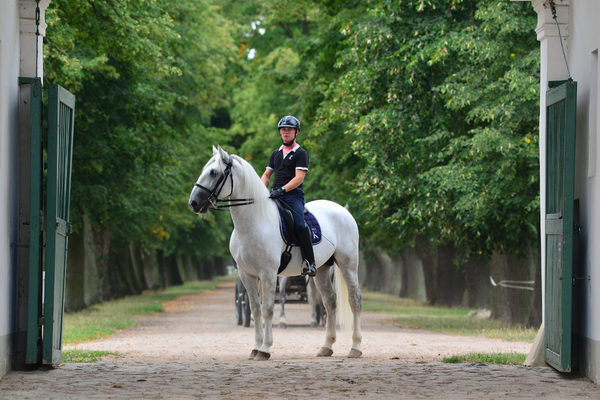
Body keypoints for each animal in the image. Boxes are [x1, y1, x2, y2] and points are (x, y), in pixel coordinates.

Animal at [190, 146, 364, 360]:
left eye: (213, 173)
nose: (193, 203)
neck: (254, 222)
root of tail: (343, 211)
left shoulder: (268, 273)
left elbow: (268, 310)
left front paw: (265, 349)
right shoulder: (247, 275)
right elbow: (255, 309)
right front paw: (255, 347)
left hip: (348, 264)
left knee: (354, 300)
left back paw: (355, 348)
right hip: (323, 269)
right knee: (330, 302)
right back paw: (326, 347)